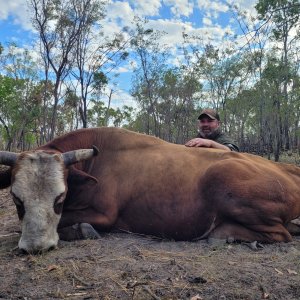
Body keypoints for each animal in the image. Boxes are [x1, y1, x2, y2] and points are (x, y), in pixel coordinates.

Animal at [0, 127, 300, 253]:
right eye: (17, 200)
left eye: (59, 199)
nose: (36, 247)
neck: (96, 159)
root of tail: (287, 170)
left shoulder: (105, 215)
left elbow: (73, 223)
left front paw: (81, 230)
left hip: (224, 179)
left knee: (282, 235)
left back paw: (223, 235)